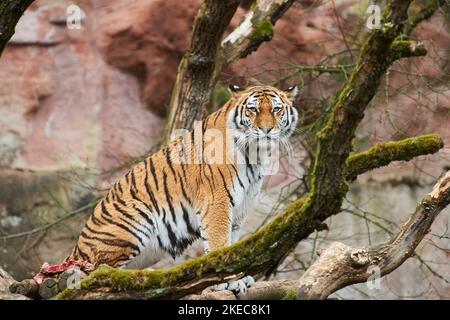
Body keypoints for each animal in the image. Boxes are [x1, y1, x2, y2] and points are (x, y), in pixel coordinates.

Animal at [63, 84, 298, 294]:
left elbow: (233, 245)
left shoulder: (239, 209)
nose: (266, 130)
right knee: (97, 276)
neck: (255, 153)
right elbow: (220, 245)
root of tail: (75, 250)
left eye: (276, 109)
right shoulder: (217, 202)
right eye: (253, 109)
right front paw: (229, 282)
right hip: (134, 216)